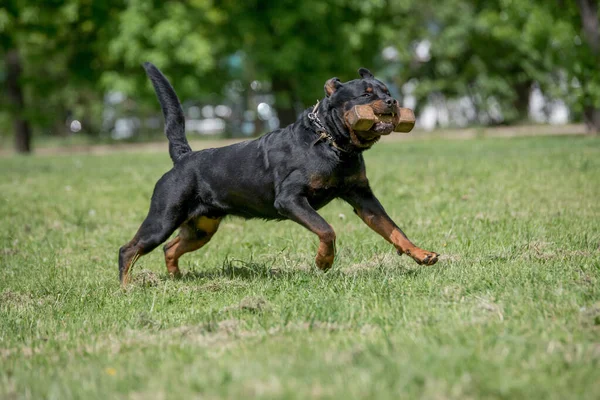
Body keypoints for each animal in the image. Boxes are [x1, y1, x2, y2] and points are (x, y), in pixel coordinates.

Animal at [117, 64, 438, 284]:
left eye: (387, 92)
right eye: (366, 94)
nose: (393, 102)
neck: (332, 143)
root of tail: (184, 158)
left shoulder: (363, 197)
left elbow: (393, 229)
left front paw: (421, 253)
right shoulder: (290, 199)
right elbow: (326, 229)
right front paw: (323, 262)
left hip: (201, 228)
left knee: (170, 248)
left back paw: (175, 278)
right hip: (164, 217)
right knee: (128, 249)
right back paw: (127, 287)